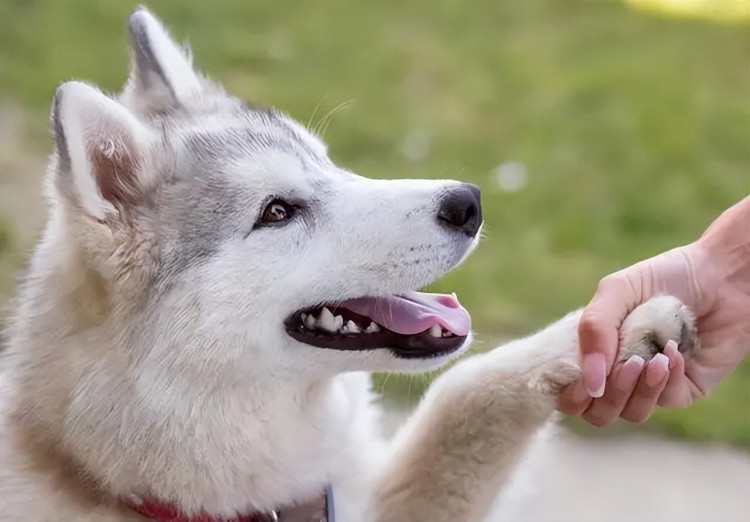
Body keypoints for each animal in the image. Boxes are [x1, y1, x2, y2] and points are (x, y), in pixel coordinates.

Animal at [0, 8, 700, 520]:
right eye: (277, 211)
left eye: (329, 163)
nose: (468, 202)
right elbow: (458, 390)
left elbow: (466, 387)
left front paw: (615, 327)